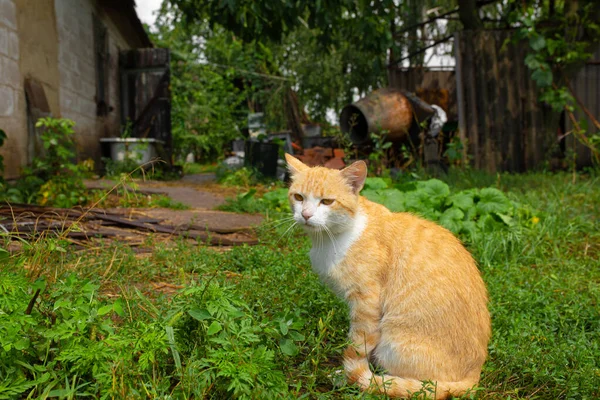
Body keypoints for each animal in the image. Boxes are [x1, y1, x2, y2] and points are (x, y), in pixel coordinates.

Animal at [286, 155, 492, 398]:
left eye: (327, 201)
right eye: (299, 197)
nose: (305, 215)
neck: (331, 239)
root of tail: (475, 373)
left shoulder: (366, 302)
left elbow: (357, 345)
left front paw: (348, 377)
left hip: (392, 345)